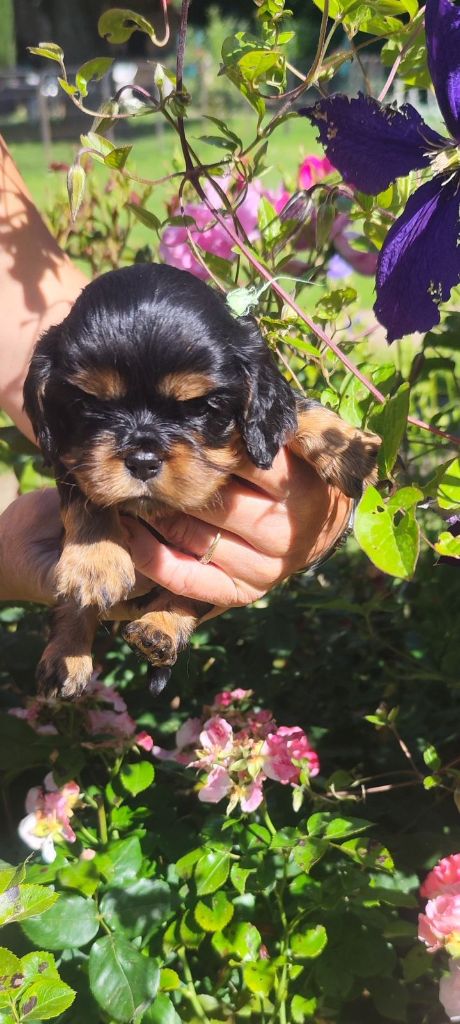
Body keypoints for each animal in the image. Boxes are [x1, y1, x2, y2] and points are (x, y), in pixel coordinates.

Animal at [23, 260, 379, 700]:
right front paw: (95, 561)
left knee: (190, 594)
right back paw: (66, 654)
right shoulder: (71, 459)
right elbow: (87, 500)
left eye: (199, 408)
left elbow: (296, 408)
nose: (142, 460)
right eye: (89, 406)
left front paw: (346, 447)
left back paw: (158, 628)